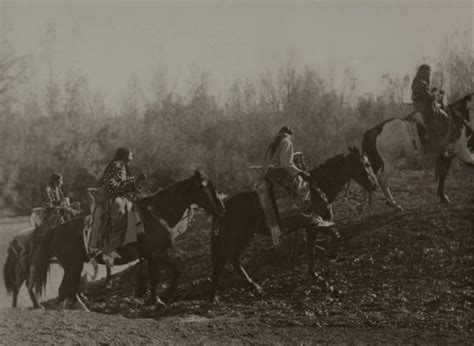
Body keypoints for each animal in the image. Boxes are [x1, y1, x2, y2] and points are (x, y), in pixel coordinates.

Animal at [32, 170, 226, 310]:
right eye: (207, 188)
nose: (222, 209)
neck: (156, 215)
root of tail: (55, 230)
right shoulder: (154, 254)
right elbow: (159, 276)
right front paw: (161, 298)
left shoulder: (155, 255)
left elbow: (169, 273)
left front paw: (157, 299)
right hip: (73, 265)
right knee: (64, 290)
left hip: (73, 265)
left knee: (69, 289)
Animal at [209, 146, 380, 300]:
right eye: (366, 165)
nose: (375, 185)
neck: (317, 187)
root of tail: (223, 204)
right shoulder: (312, 225)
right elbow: (311, 249)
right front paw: (315, 274)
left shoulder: (316, 224)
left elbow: (332, 236)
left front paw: (331, 253)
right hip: (236, 237)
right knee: (224, 260)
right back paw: (219, 292)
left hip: (245, 236)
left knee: (232, 259)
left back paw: (247, 285)